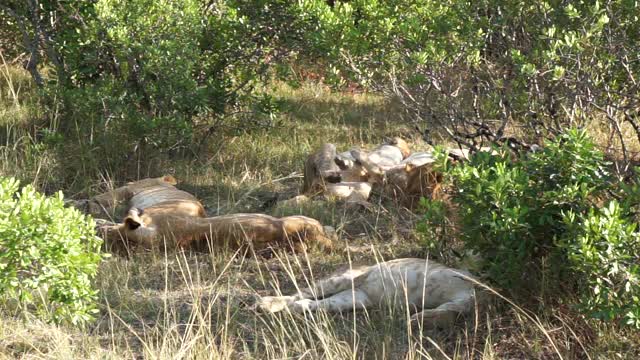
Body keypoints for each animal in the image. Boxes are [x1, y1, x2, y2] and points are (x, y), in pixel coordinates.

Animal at [255, 258, 476, 330]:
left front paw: (423, 319)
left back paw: (294, 308)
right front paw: (420, 318)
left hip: (353, 299)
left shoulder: (462, 297)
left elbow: (458, 307)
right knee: (300, 293)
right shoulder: (455, 275)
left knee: (313, 303)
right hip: (345, 278)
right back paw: (266, 303)